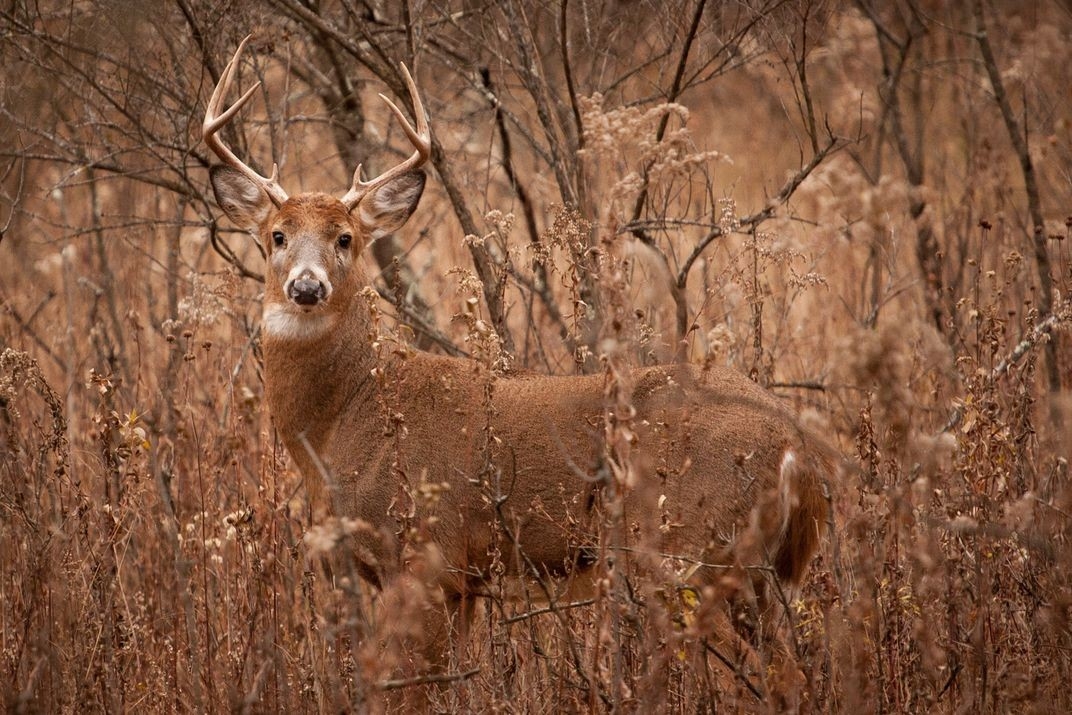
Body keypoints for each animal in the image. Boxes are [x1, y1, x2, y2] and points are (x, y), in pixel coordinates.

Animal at [202, 34, 836, 698]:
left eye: (344, 237)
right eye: (276, 235)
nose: (306, 286)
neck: (345, 420)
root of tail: (797, 449)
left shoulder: (426, 554)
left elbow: (413, 684)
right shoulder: (462, 582)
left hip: (693, 549)